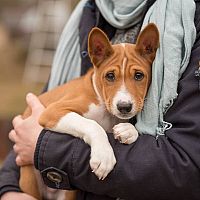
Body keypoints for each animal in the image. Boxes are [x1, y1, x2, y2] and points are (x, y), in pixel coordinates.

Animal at [19, 23, 159, 200]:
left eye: (139, 75)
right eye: (110, 76)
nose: (124, 106)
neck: (105, 109)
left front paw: (128, 131)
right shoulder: (53, 111)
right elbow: (92, 124)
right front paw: (104, 156)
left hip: (68, 193)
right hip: (30, 181)